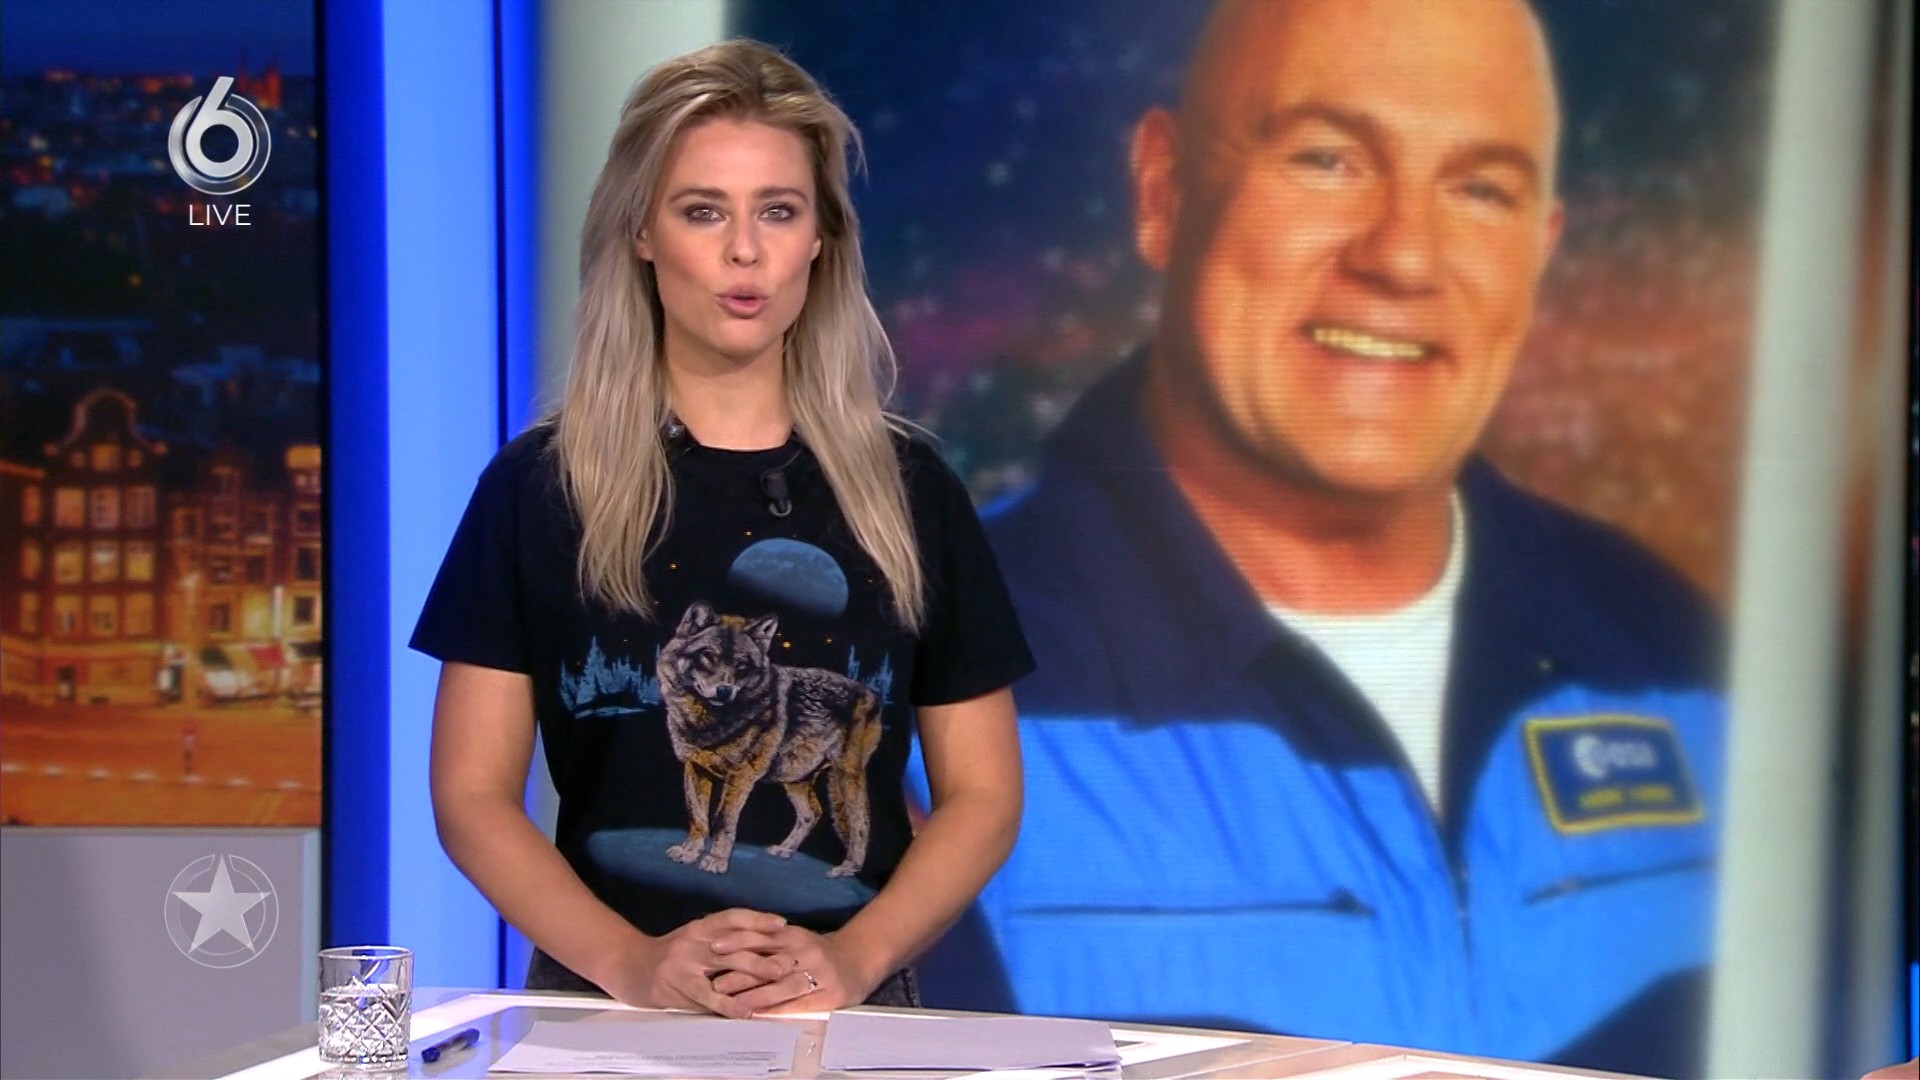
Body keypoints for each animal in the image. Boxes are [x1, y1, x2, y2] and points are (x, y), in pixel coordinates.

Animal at [656, 600, 883, 876]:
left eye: (742, 666)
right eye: (709, 656)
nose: (724, 690)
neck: (706, 720)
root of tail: (872, 695)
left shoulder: (740, 776)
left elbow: (722, 820)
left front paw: (716, 861)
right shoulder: (695, 768)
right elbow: (697, 816)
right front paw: (689, 853)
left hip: (845, 777)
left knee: (860, 822)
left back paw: (848, 868)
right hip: (795, 778)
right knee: (813, 813)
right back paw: (785, 850)